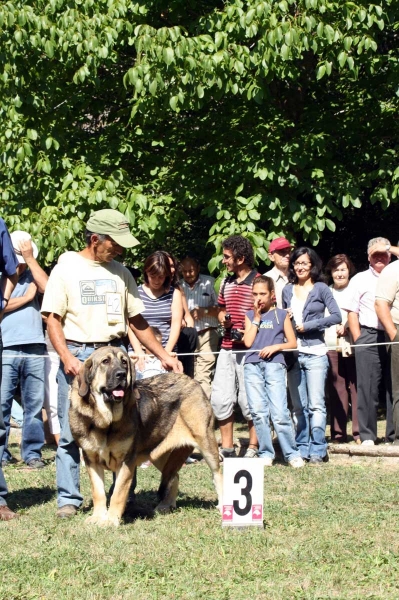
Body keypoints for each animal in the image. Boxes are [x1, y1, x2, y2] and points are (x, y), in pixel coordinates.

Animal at [70, 346, 223, 524]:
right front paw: (97, 517)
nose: (121, 374)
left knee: (217, 475)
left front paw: (111, 520)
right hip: (159, 454)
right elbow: (98, 492)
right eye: (105, 361)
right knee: (173, 475)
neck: (106, 421)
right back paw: (165, 506)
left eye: (124, 362)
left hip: (206, 443)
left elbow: (118, 493)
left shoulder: (126, 461)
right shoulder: (91, 460)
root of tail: (192, 381)